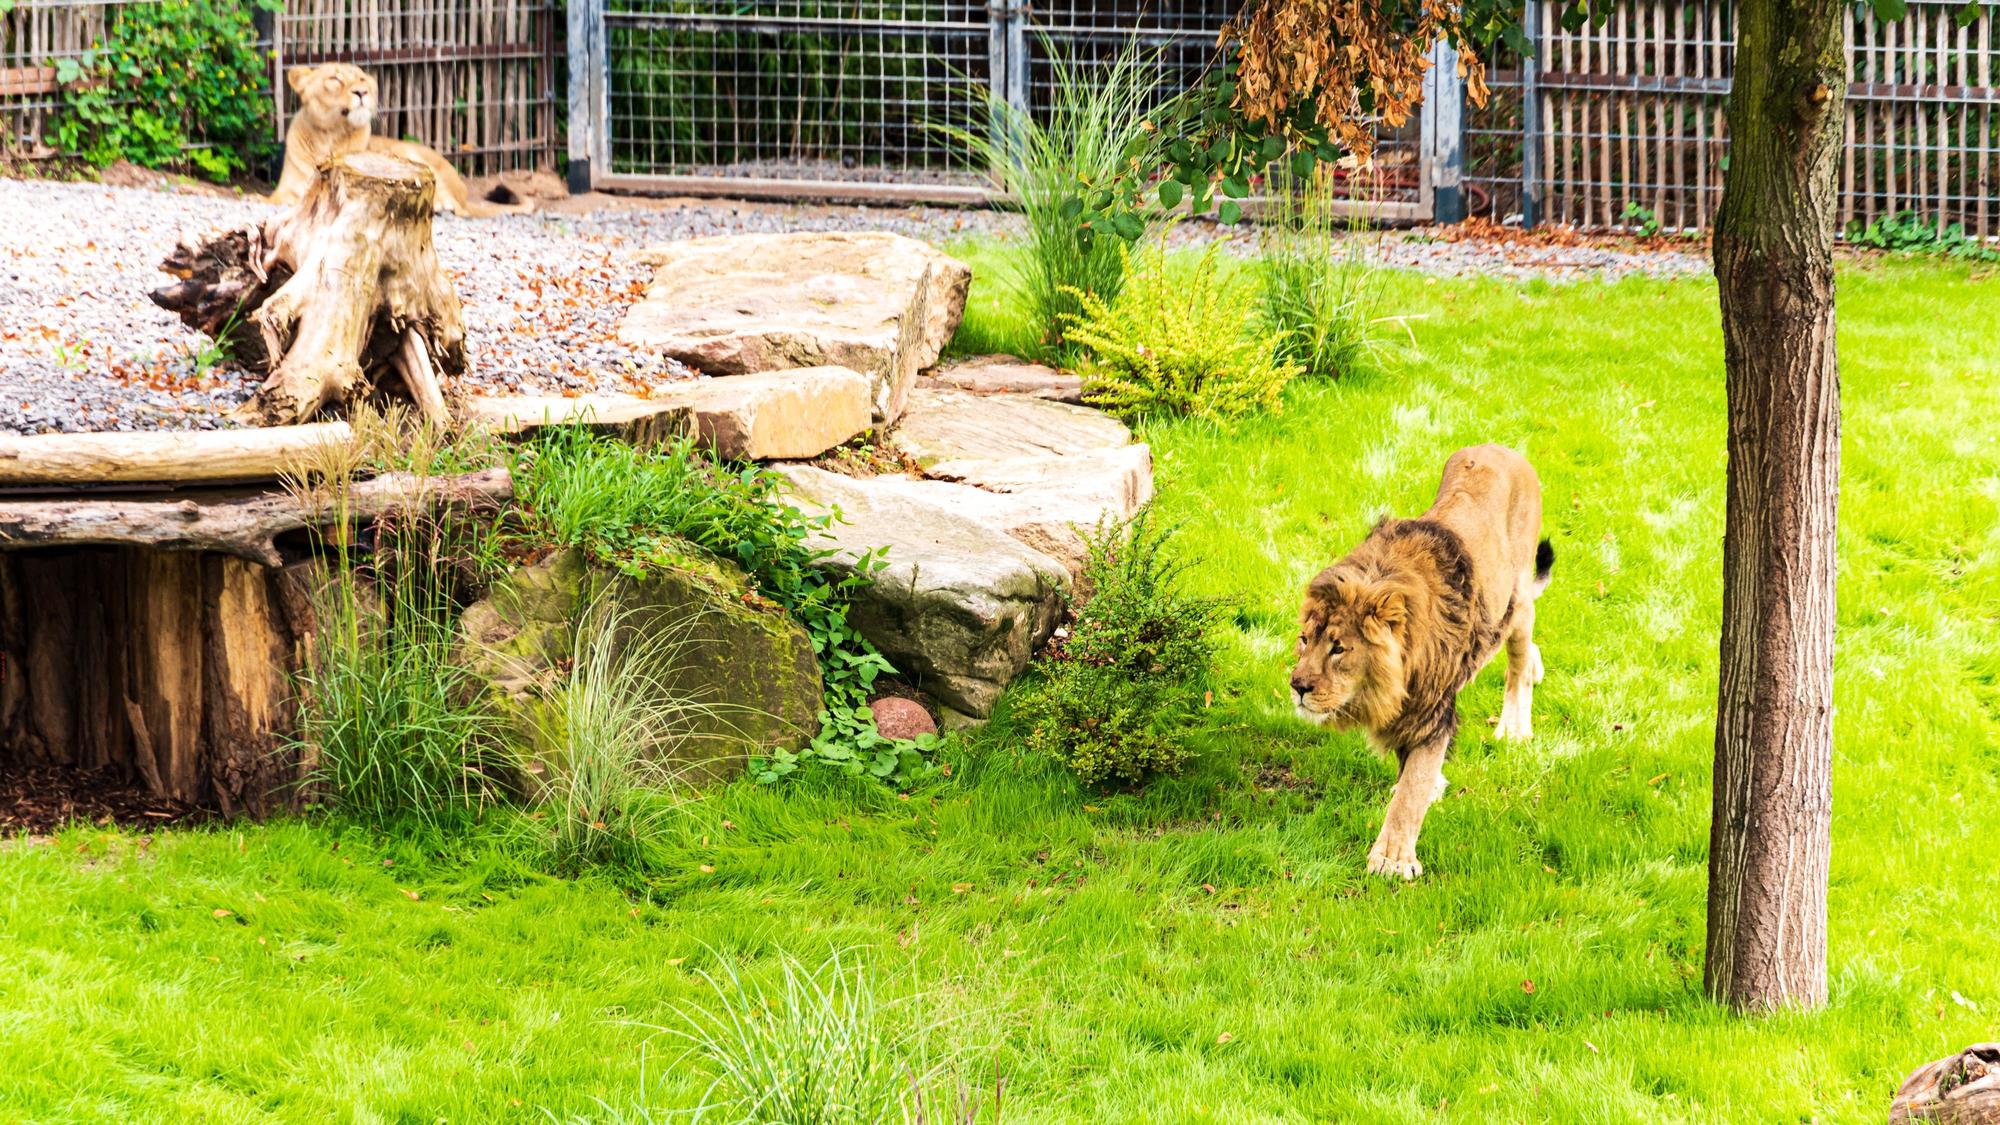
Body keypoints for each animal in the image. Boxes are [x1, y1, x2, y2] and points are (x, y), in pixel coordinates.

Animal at [271, 63, 534, 218]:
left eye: (362, 80)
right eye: (335, 79)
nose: (362, 92)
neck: (329, 136)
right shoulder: (284, 191)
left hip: (408, 154)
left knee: (455, 207)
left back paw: (441, 206)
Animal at [1290, 443, 1554, 880]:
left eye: (1338, 648)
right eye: (1304, 640)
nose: (1297, 687)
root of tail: (1501, 447)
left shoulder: (1433, 712)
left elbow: (1411, 791)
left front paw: (1393, 859)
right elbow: (1409, 773)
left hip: (1514, 601)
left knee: (1519, 652)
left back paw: (1514, 728)